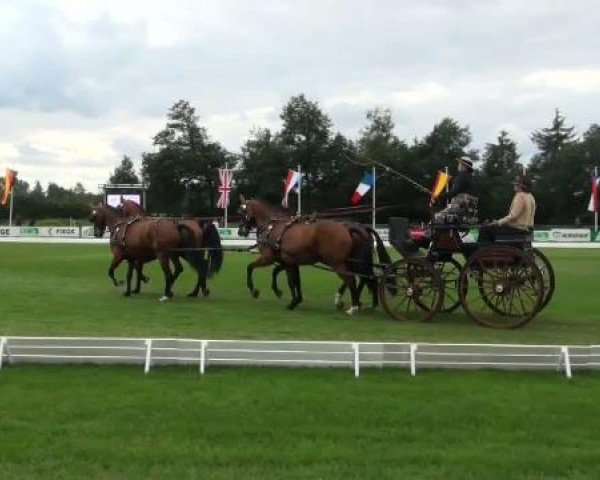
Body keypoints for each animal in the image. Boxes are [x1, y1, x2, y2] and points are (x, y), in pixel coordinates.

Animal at [234, 196, 390, 314]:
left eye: (241, 212)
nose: (241, 231)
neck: (273, 228)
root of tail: (348, 228)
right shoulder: (290, 262)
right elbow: (293, 280)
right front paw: (294, 299)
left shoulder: (269, 258)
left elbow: (251, 267)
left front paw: (254, 291)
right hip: (352, 262)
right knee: (367, 277)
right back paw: (366, 303)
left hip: (338, 263)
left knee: (352, 279)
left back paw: (354, 306)